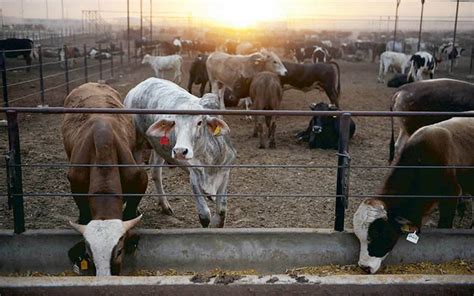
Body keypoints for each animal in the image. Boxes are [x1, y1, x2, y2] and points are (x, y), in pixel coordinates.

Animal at [123, 77, 236, 228]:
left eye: (199, 122)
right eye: (174, 123)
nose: (180, 151)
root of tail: (140, 85)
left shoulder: (225, 173)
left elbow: (222, 211)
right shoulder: (194, 176)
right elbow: (205, 216)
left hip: (159, 148)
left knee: (156, 172)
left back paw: (165, 205)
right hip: (138, 144)